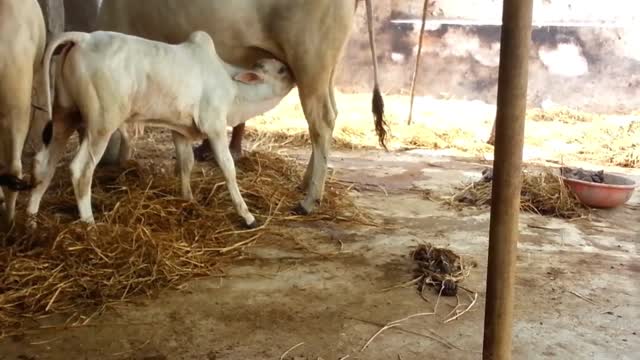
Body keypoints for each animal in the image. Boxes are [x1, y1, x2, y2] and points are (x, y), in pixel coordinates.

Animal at [27, 31, 292, 228]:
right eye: (281, 70)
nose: (293, 72)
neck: (233, 86)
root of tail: (84, 38)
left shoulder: (180, 130)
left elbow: (186, 164)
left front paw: (188, 200)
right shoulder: (215, 127)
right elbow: (228, 169)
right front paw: (247, 216)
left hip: (65, 116)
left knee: (44, 164)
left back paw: (31, 219)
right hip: (101, 126)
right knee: (80, 169)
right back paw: (89, 222)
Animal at [95, 0, 384, 217]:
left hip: (310, 60)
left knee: (321, 120)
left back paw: (310, 200)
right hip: (326, 69)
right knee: (331, 114)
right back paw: (306, 181)